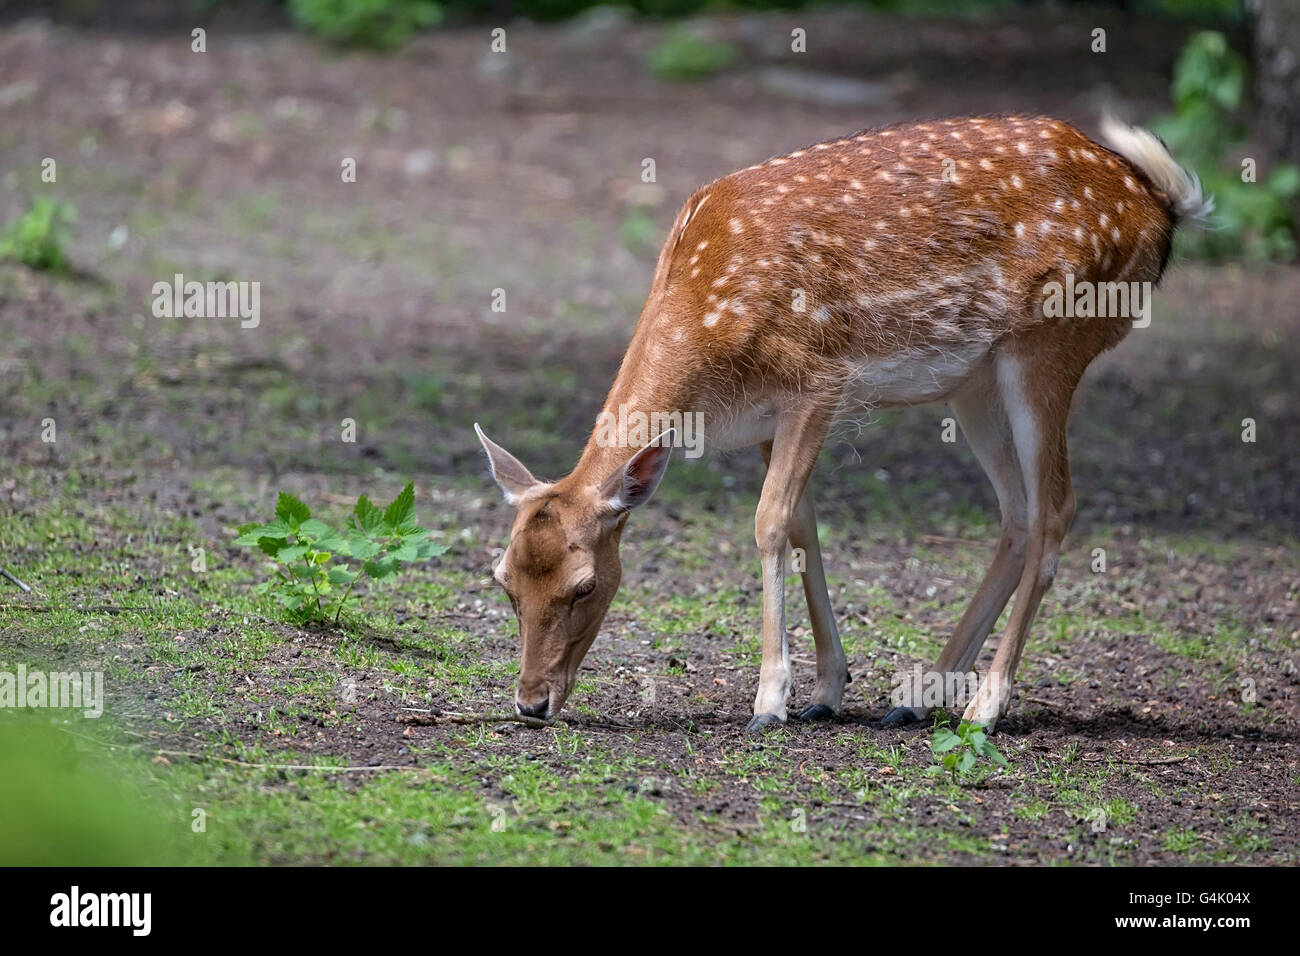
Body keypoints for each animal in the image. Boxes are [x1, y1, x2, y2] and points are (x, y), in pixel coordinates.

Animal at [475, 117, 1206, 733]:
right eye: (503, 580)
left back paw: (985, 707)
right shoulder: (769, 418)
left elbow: (770, 521)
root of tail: (1159, 203)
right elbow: (803, 525)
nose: (531, 703)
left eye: (585, 585)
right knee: (1018, 513)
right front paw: (827, 691)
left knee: (1057, 508)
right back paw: (917, 698)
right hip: (976, 381)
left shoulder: (816, 383)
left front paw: (769, 701)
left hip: (1050, 344)